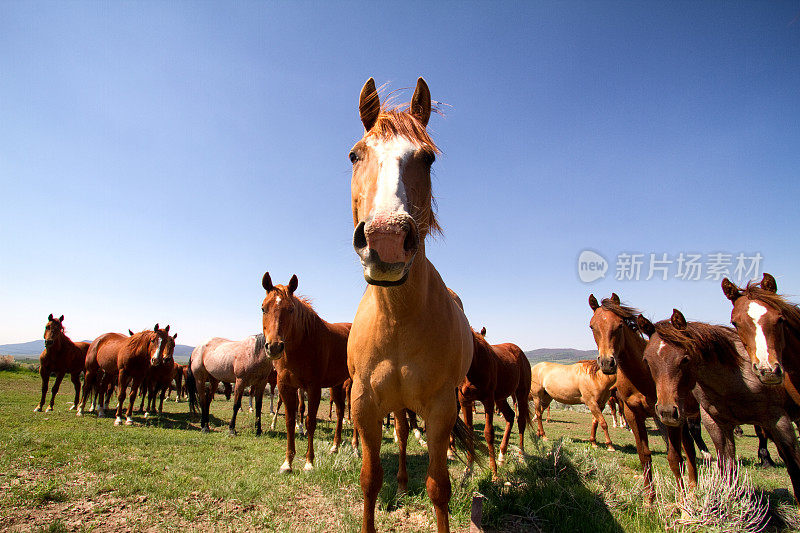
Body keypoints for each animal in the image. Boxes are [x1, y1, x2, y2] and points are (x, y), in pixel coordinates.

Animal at [262, 272, 350, 472]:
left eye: (291, 310)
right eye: (263, 309)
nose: (274, 347)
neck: (303, 343)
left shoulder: (313, 388)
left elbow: (310, 421)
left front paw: (309, 462)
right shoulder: (286, 387)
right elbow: (289, 421)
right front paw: (287, 463)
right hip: (336, 385)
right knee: (340, 412)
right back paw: (335, 446)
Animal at [346, 76, 472, 532]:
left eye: (428, 158)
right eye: (355, 154)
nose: (386, 238)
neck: (398, 318)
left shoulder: (440, 409)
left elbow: (439, 487)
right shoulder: (364, 404)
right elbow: (369, 479)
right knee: (400, 434)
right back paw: (400, 484)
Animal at [456, 326, 532, 476]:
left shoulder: (488, 400)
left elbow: (488, 433)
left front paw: (494, 473)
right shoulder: (465, 401)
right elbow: (469, 432)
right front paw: (469, 468)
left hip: (521, 394)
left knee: (521, 422)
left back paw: (521, 457)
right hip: (501, 398)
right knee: (510, 416)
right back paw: (501, 457)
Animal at [584, 296, 704, 498]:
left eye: (620, 325)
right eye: (592, 326)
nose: (607, 362)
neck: (642, 375)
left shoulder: (667, 416)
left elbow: (674, 457)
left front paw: (681, 499)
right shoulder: (633, 413)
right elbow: (644, 455)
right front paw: (649, 499)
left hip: (686, 416)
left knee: (689, 448)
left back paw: (693, 488)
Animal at [640, 308, 800, 502]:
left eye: (685, 359)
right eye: (647, 361)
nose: (667, 412)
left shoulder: (778, 420)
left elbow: (794, 467)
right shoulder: (716, 424)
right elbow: (727, 467)